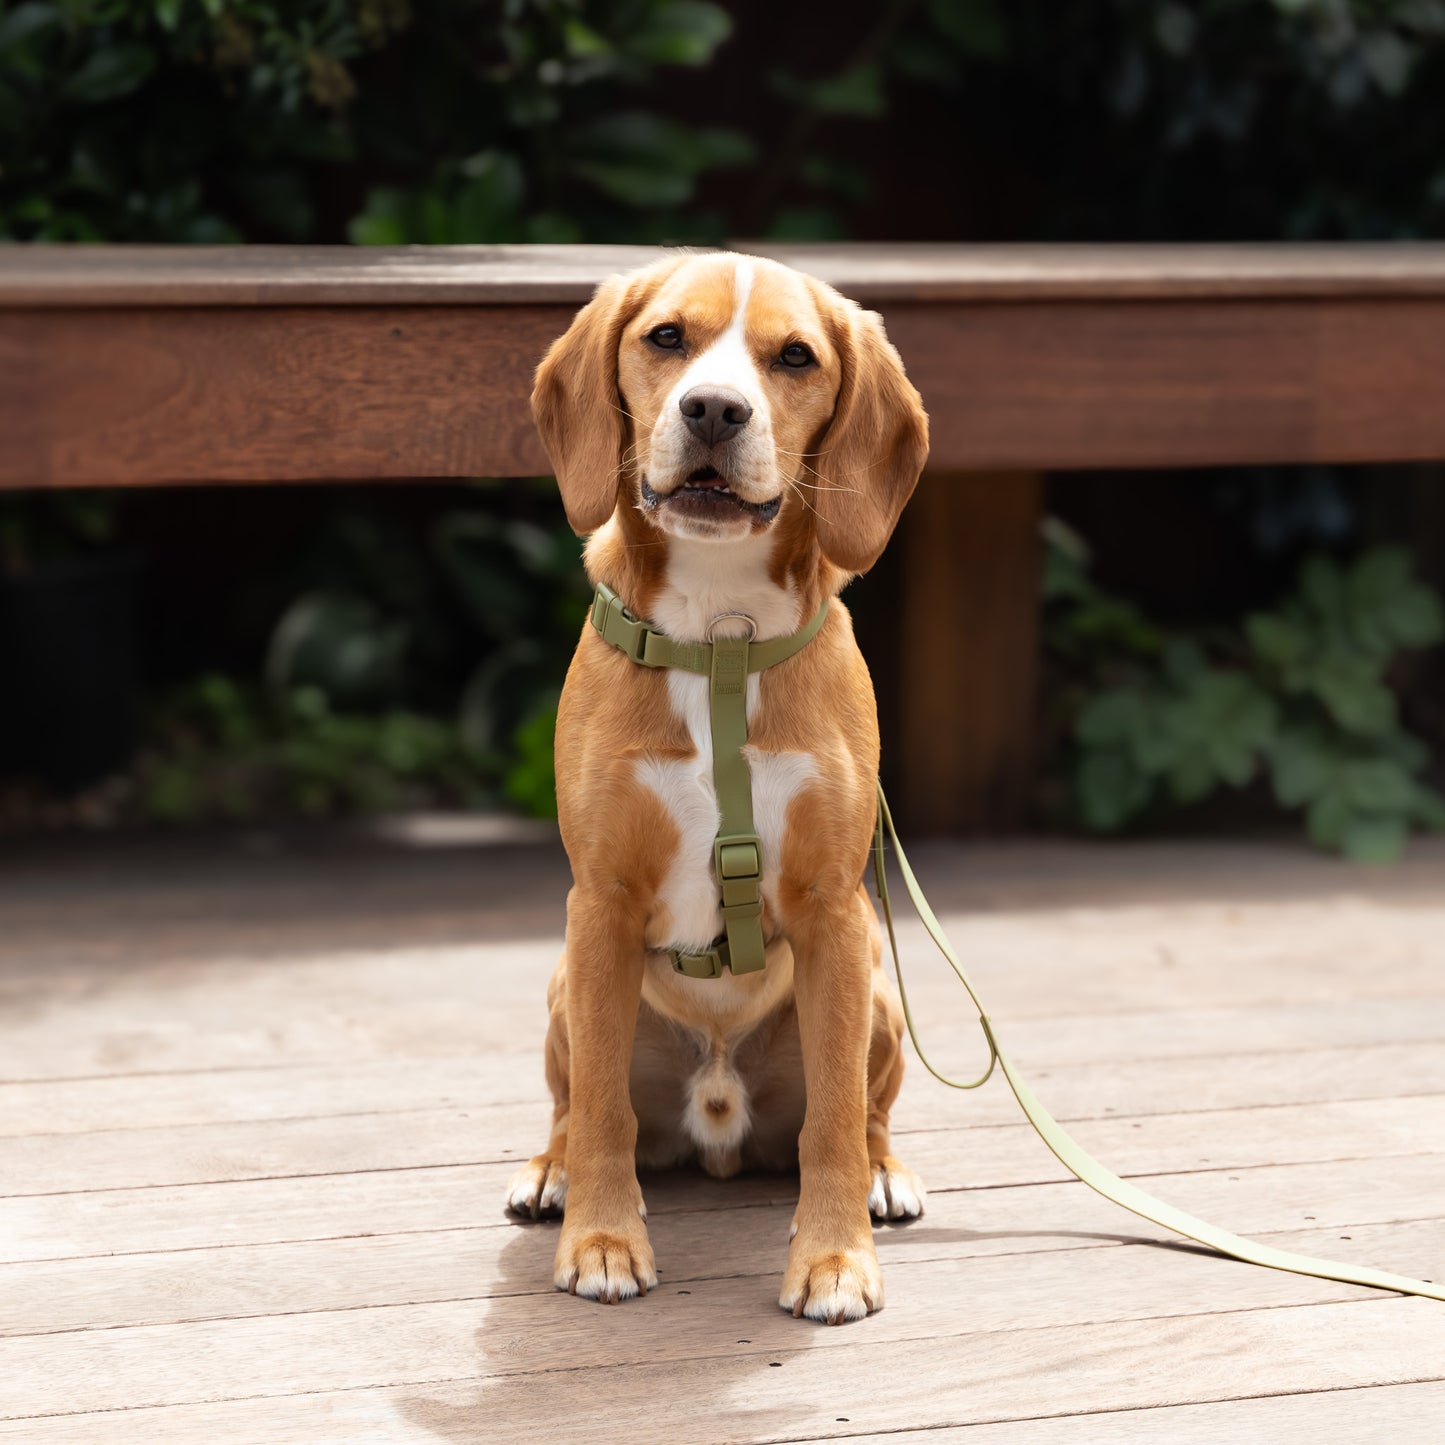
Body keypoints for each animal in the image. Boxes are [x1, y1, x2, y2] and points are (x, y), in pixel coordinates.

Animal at [508, 248, 930, 1323]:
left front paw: (835, 1256)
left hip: (876, 986)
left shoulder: (832, 911)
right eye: (667, 338)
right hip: (564, 980)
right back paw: (552, 1170)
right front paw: (602, 1239)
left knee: (861, 1114)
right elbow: (602, 1110)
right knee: (575, 1106)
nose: (711, 410)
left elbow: (832, 1120)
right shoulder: (601, 904)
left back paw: (882, 1174)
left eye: (794, 356)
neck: (718, 634)